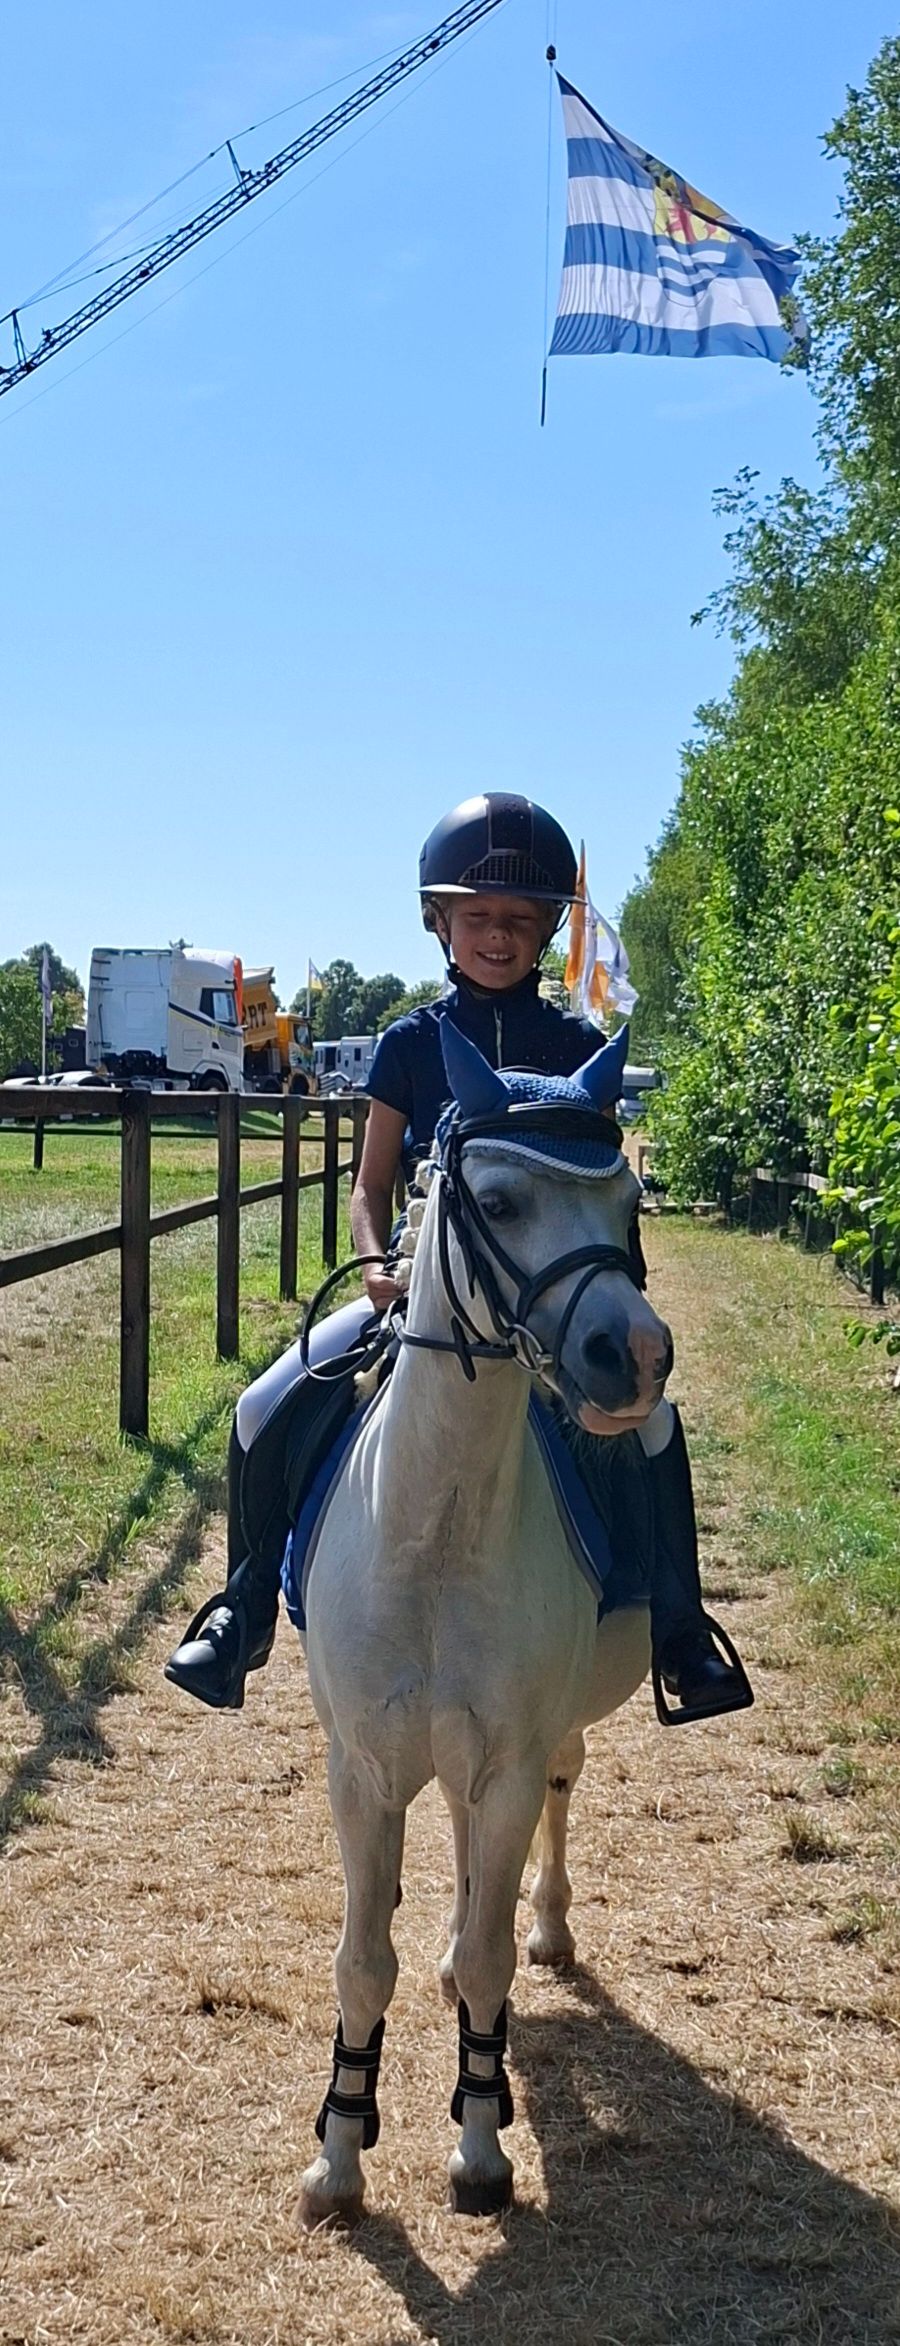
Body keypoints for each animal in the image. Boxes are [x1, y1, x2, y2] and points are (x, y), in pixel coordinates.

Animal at [296, 1019, 673, 2223]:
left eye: (628, 1203)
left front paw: (478, 2149)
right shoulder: (364, 1770)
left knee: (553, 1804)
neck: (437, 1536)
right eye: (499, 1203)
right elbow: (363, 1963)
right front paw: (339, 2158)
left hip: (542, 1744)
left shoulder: (507, 1759)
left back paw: (547, 1924)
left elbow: (494, 1957)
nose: (634, 1357)